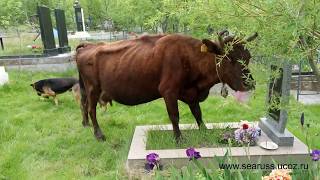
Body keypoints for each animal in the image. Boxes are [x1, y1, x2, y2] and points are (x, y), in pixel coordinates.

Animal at [75, 32, 258, 142]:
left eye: (248, 57)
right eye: (229, 58)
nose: (249, 83)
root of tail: (89, 46)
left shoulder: (191, 93)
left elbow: (197, 113)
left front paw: (204, 130)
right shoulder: (168, 91)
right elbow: (174, 116)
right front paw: (179, 139)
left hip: (87, 89)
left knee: (84, 106)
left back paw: (85, 125)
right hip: (93, 88)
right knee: (91, 109)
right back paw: (99, 134)